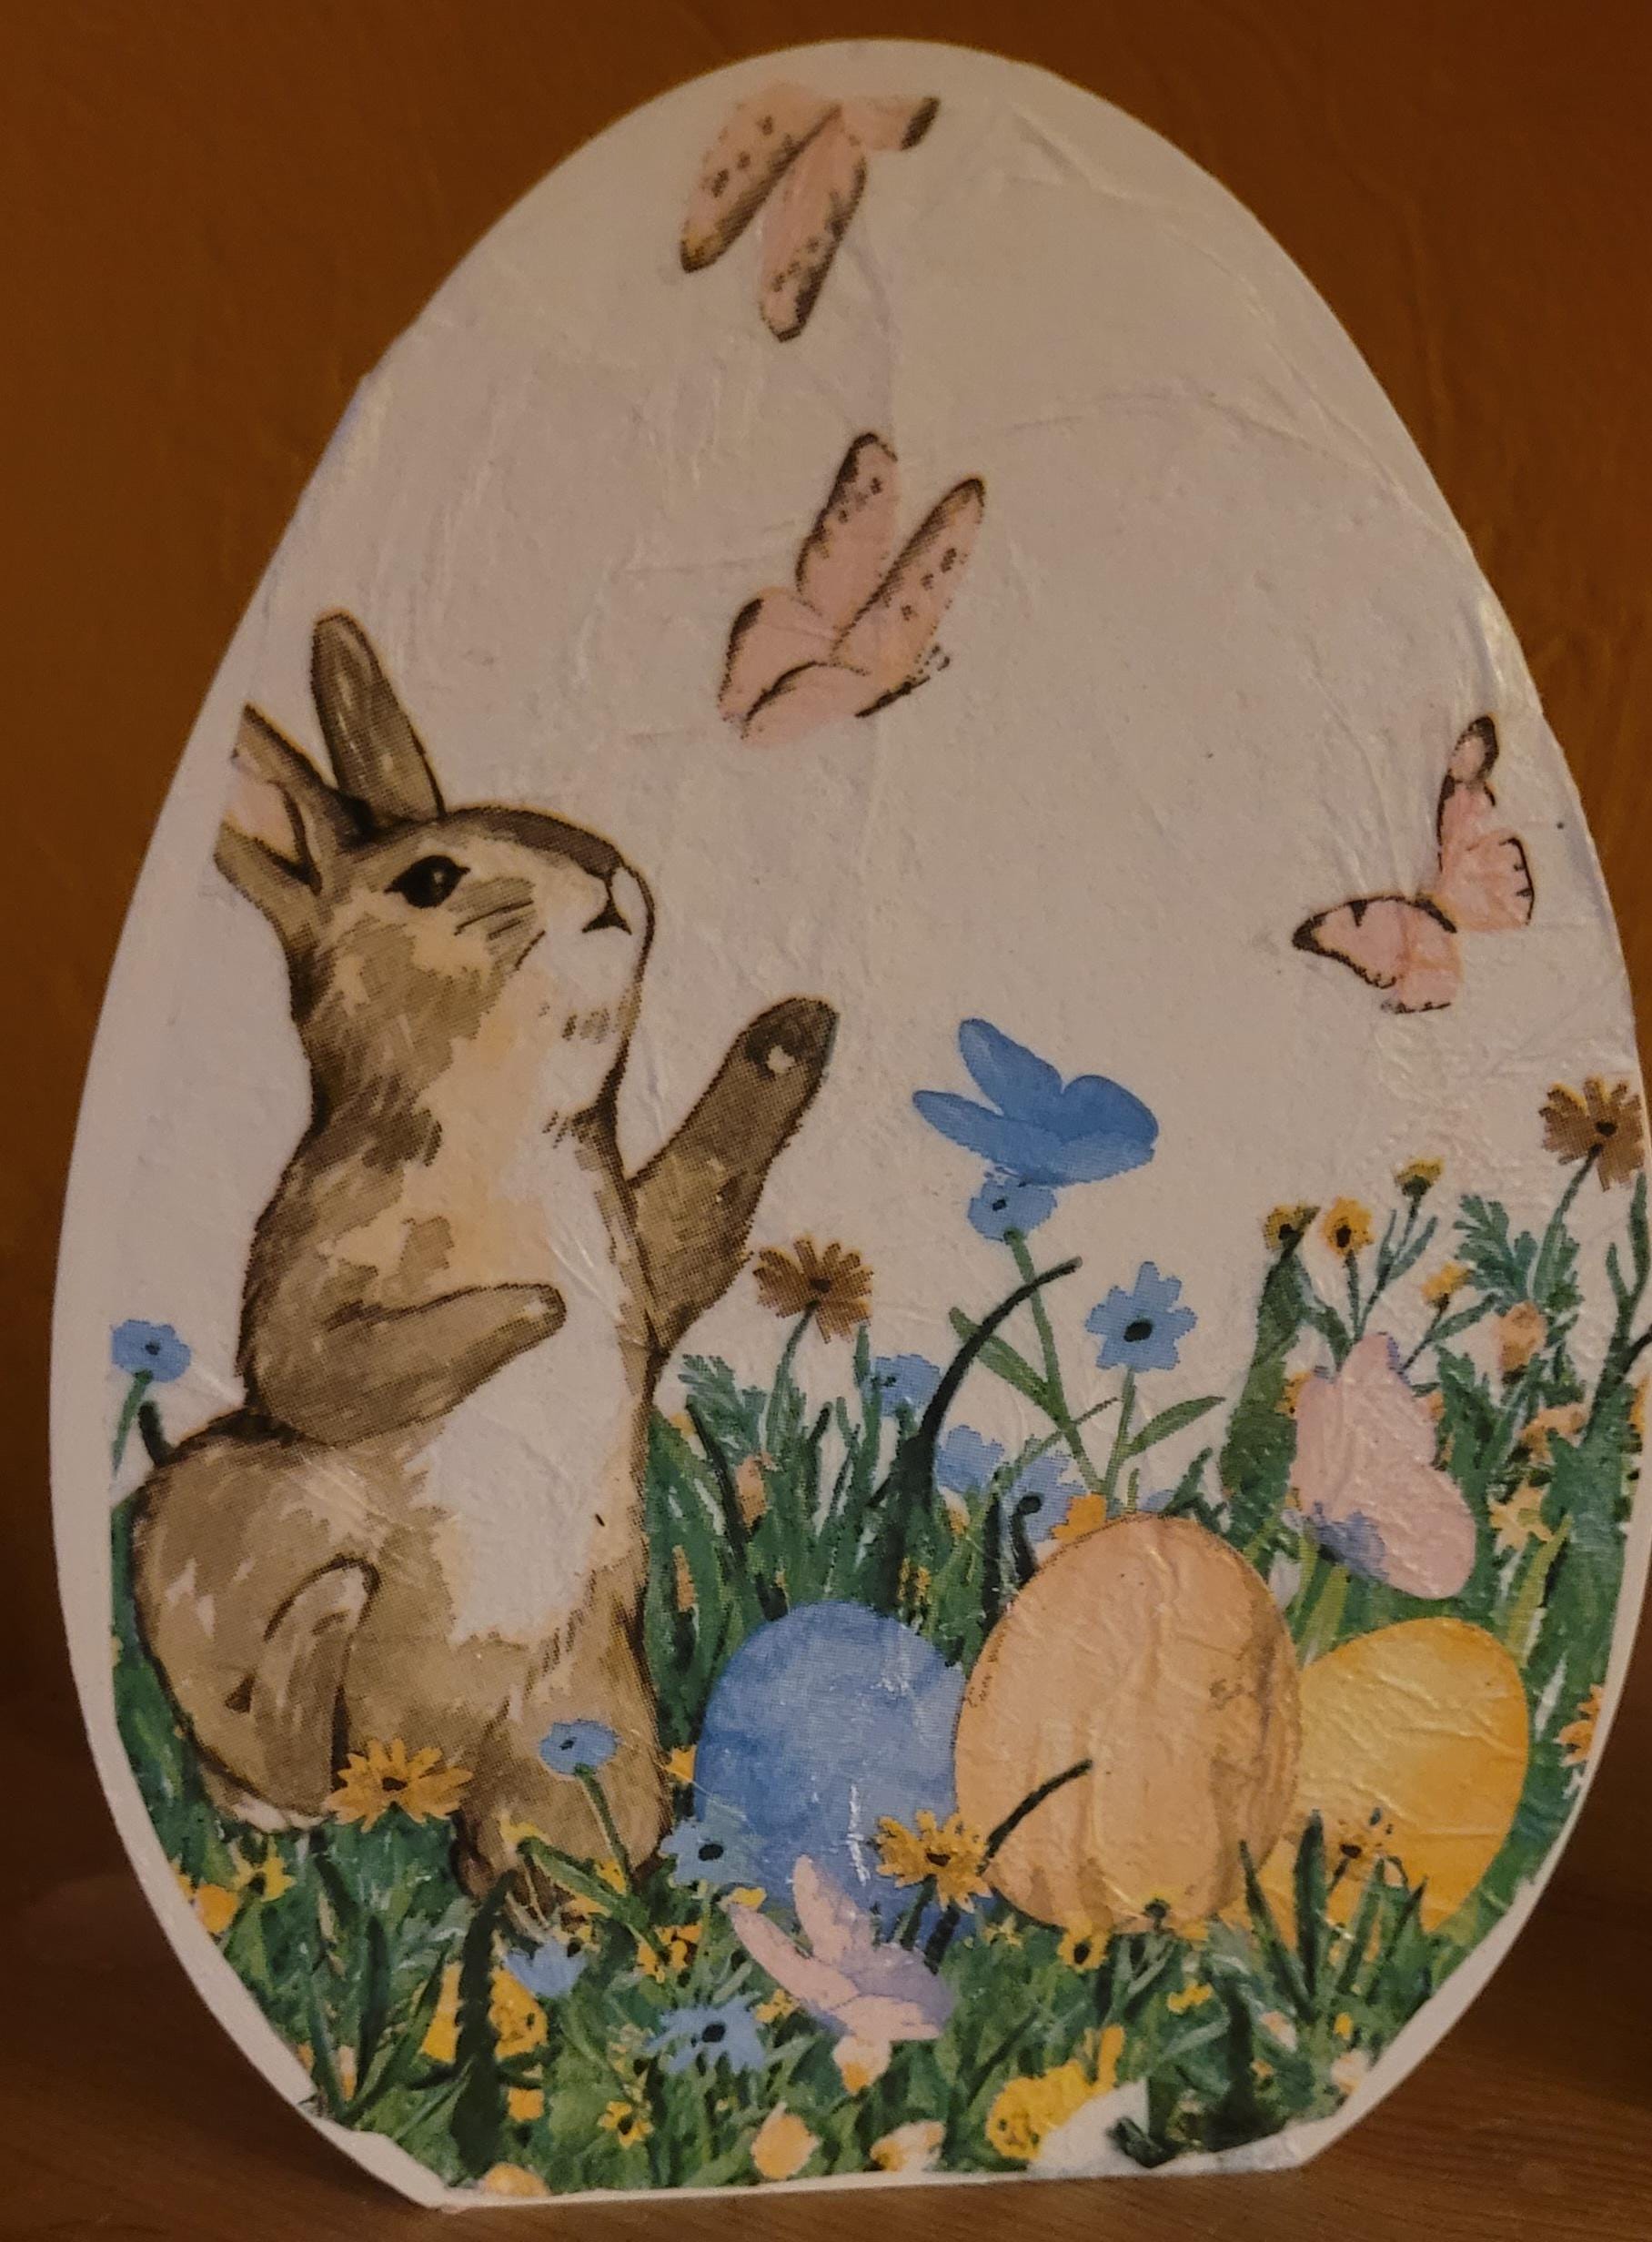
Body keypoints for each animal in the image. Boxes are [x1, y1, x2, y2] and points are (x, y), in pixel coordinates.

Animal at [131, 612, 836, 1901]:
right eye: (433, 880)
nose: (608, 876)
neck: (510, 1128)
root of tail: (426, 1764)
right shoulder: (312, 1271)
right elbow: (314, 1367)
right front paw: (530, 1309)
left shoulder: (639, 1259)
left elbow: (698, 1208)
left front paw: (790, 1038)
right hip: (212, 1527)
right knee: (280, 1769)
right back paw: (318, 1687)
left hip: (578, 1706)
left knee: (542, 1823)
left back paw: (546, 1898)